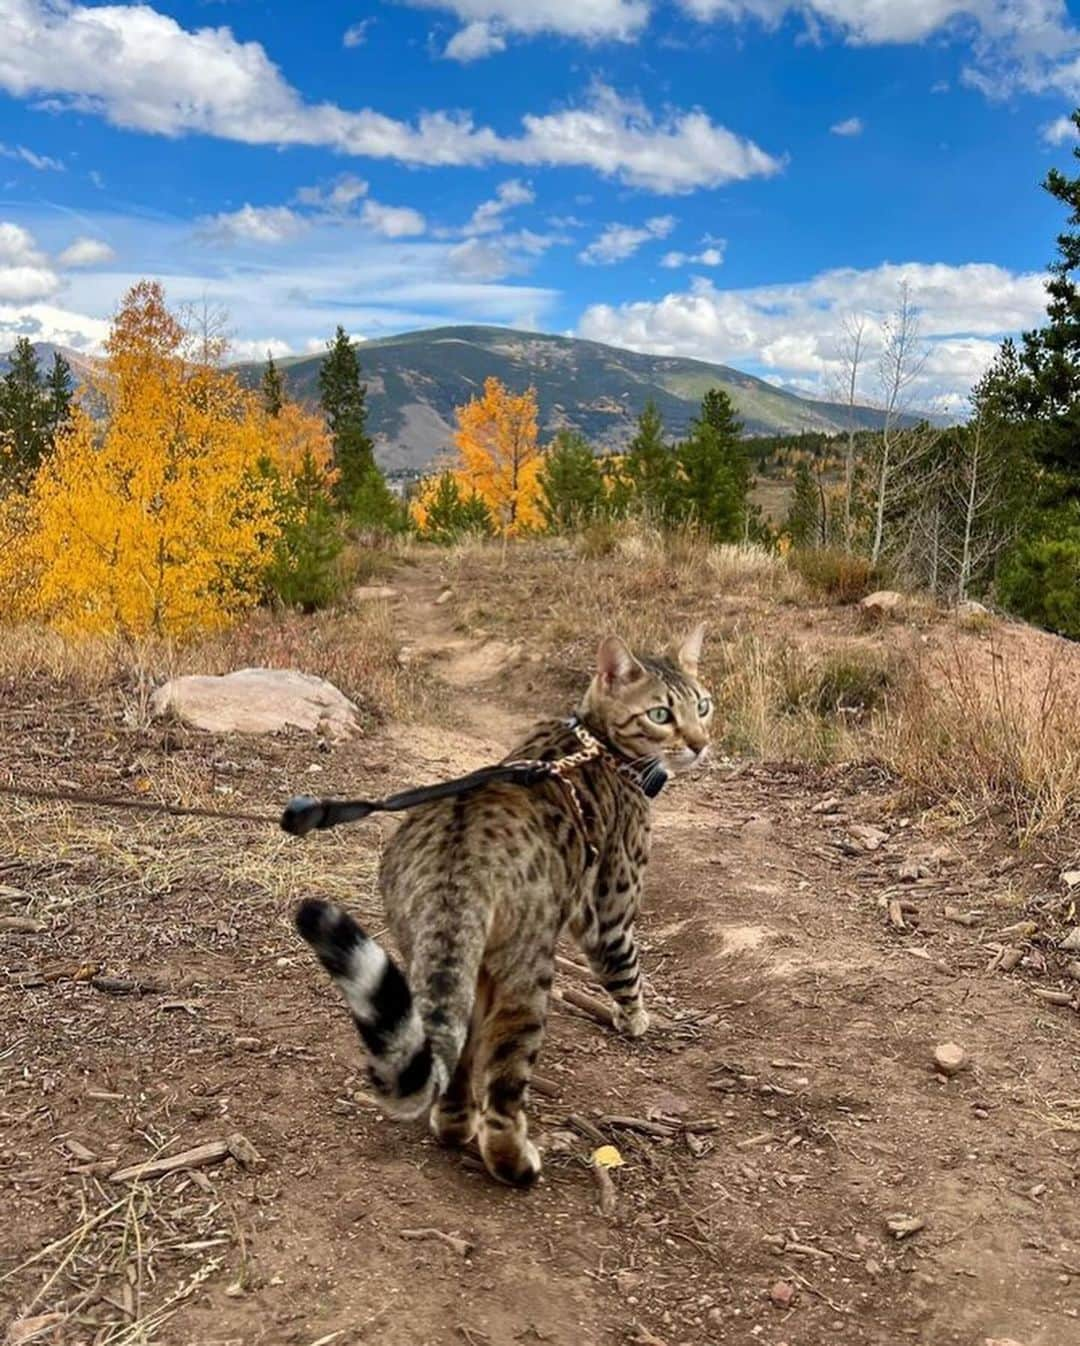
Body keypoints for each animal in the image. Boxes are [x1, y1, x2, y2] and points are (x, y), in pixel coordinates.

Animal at [294, 624, 711, 1184]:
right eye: (661, 714)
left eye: (703, 705)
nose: (701, 744)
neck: (596, 743)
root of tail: (455, 860)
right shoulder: (608, 911)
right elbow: (627, 967)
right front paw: (636, 1019)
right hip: (526, 973)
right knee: (504, 1088)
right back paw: (515, 1161)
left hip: (449, 960)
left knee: (456, 1062)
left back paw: (454, 1124)